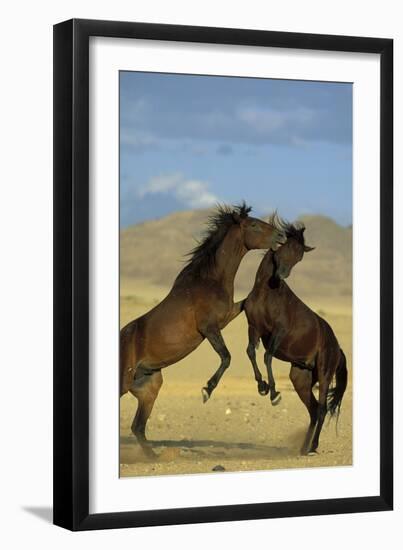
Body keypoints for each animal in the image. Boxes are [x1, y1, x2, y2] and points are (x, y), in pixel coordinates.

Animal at [120, 203, 288, 458]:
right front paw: (207, 390)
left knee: (138, 427)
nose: (281, 236)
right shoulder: (209, 328)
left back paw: (154, 457)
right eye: (254, 224)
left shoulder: (228, 315)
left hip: (149, 387)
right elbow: (226, 357)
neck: (210, 280)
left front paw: (265, 387)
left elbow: (246, 315)